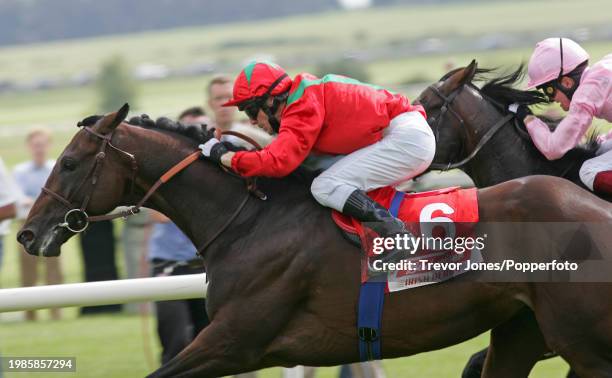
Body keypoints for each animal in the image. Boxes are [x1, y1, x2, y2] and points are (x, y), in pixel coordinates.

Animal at [15, 105, 612, 376]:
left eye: (70, 164)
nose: (27, 232)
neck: (249, 222)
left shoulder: (234, 340)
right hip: (522, 328)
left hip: (579, 338)